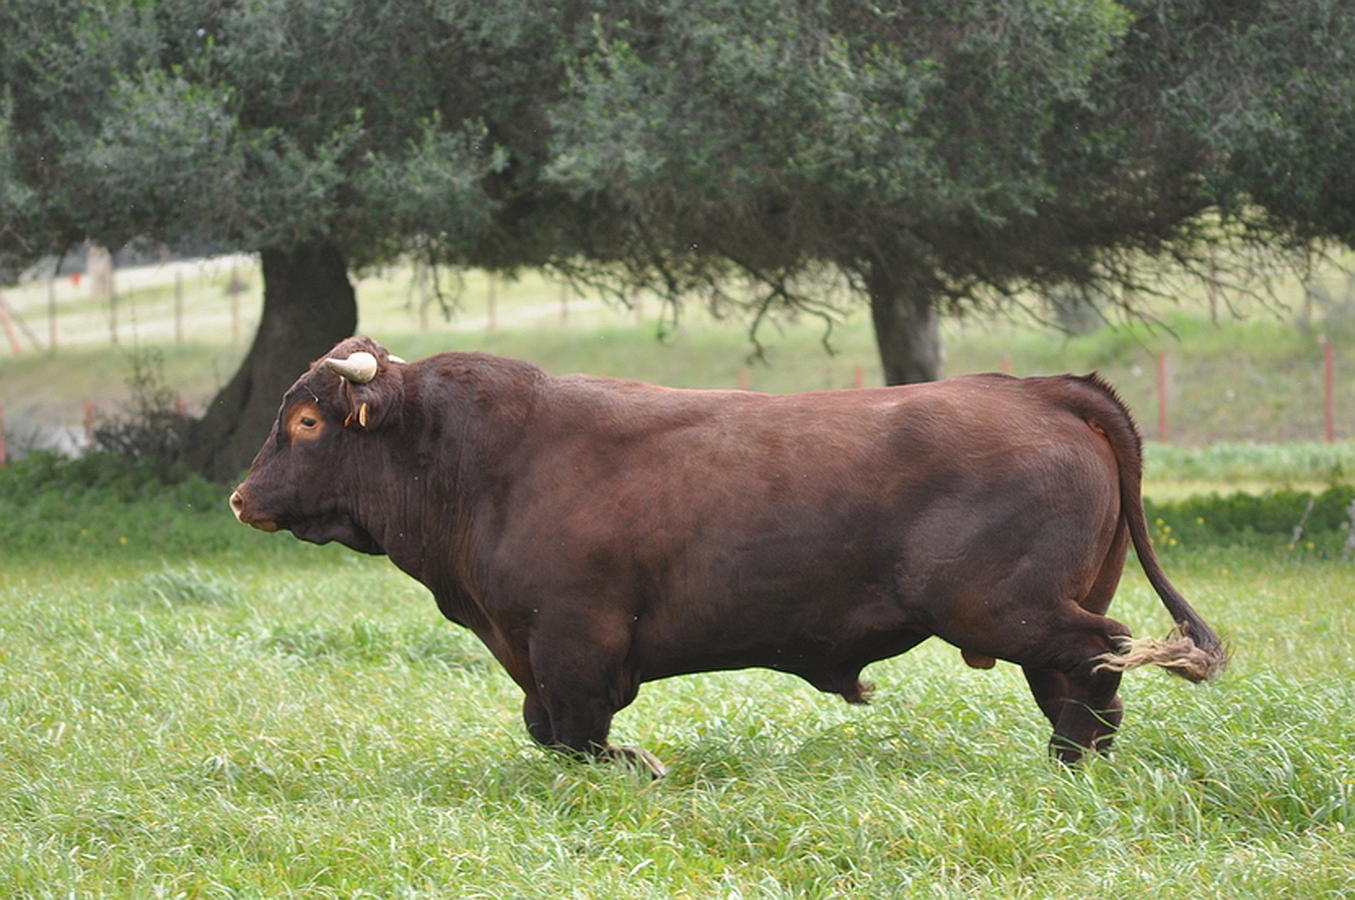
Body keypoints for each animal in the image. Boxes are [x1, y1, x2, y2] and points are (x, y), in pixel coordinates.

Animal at [233, 336, 1230, 775]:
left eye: (308, 421)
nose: (243, 498)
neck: (478, 461)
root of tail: (1042, 389)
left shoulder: (573, 640)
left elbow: (576, 731)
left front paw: (635, 765)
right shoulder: (531, 650)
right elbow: (547, 729)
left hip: (1006, 608)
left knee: (1099, 659)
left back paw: (1070, 765)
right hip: (1034, 612)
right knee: (1082, 681)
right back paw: (1069, 768)